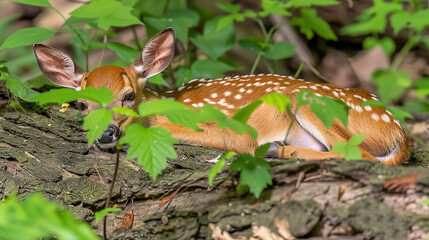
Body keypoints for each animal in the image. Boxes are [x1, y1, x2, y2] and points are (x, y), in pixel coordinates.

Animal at [32, 27, 408, 165]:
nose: (107, 132)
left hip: (307, 98)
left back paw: (280, 150)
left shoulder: (232, 130)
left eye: (128, 96)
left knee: (356, 152)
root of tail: (398, 131)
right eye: (81, 104)